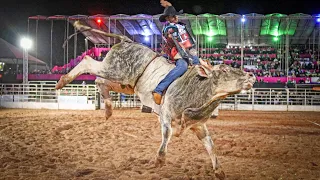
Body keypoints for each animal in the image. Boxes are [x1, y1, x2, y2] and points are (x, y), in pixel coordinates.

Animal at [55, 21, 255, 180]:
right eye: (224, 70)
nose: (251, 75)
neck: (198, 90)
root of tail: (126, 41)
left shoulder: (198, 126)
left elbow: (210, 145)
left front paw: (219, 171)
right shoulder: (166, 114)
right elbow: (167, 133)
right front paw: (160, 159)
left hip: (124, 83)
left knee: (100, 81)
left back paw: (109, 109)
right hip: (113, 69)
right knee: (88, 62)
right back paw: (62, 81)